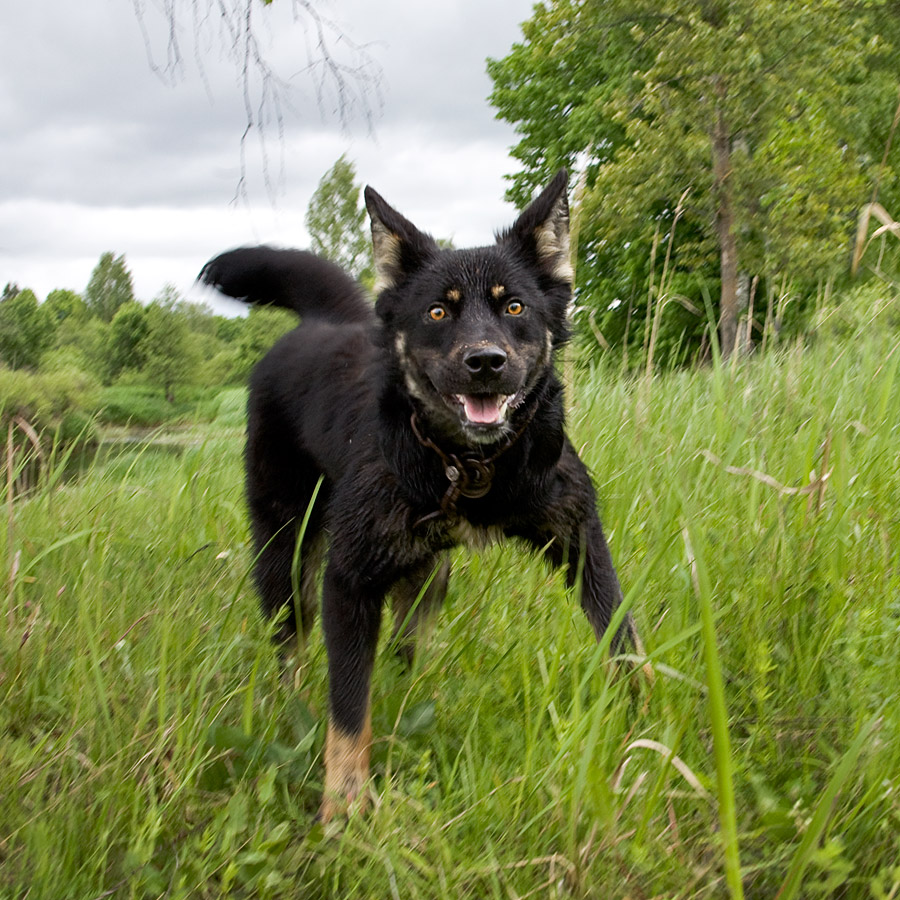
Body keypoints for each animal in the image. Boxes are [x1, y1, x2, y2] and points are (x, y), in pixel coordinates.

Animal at [200, 169, 636, 824]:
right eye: (437, 311)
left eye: (514, 306)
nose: (486, 362)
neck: (468, 466)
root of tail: (322, 322)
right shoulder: (348, 581)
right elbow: (348, 706)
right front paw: (344, 803)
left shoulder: (579, 536)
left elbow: (620, 634)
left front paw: (649, 723)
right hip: (286, 554)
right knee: (291, 652)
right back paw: (292, 709)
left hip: (426, 574)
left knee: (405, 652)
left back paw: (409, 695)